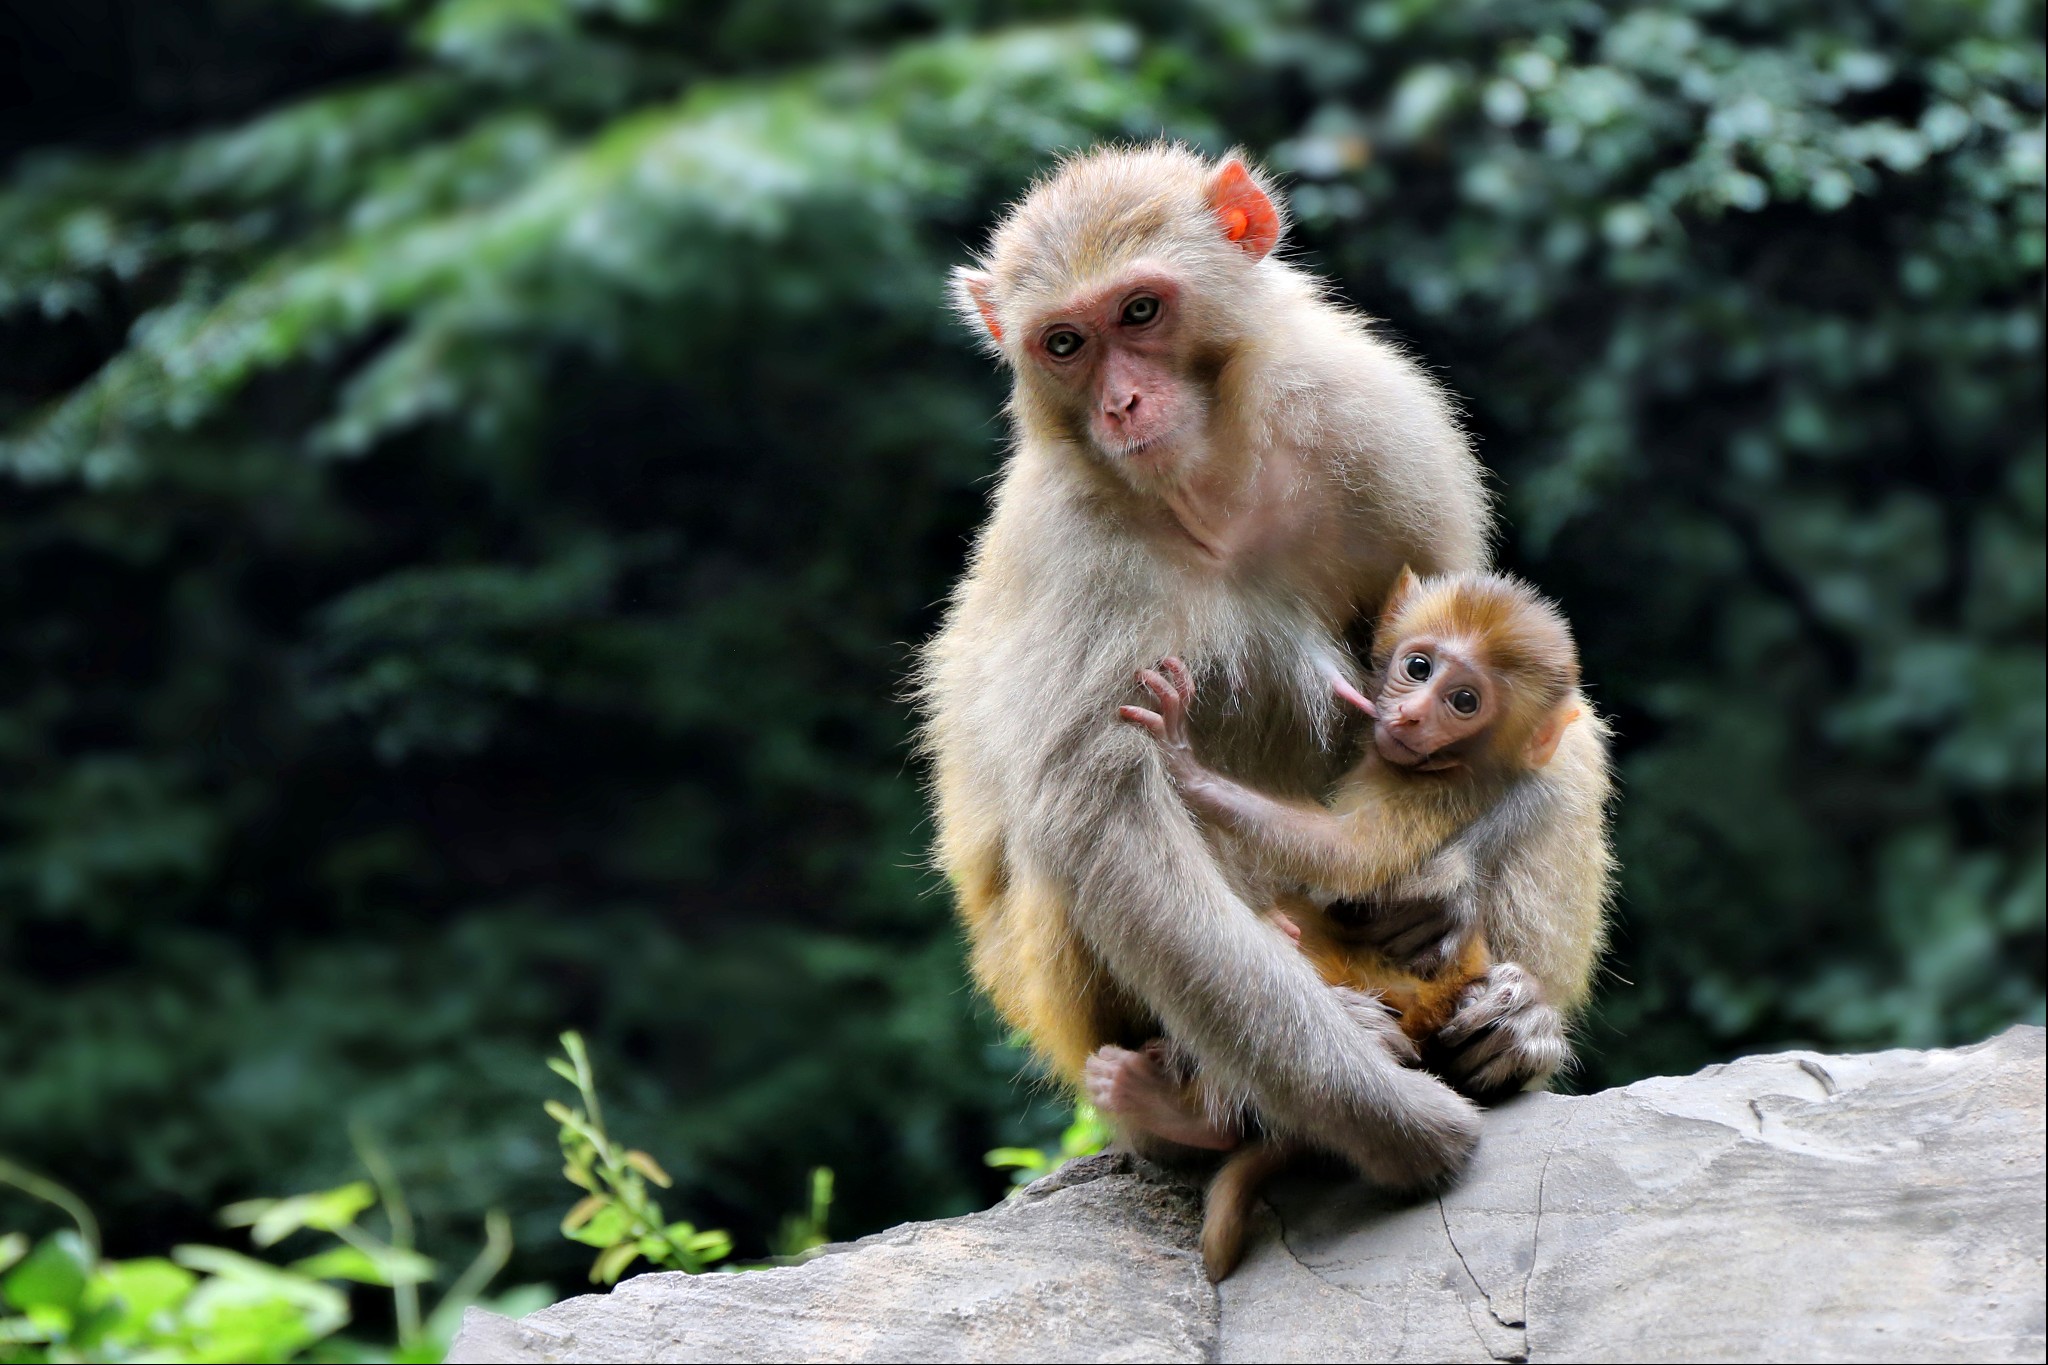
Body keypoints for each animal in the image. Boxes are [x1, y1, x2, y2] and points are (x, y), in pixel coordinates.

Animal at [921, 149, 1605, 1186]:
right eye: (1064, 343)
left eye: (1140, 311)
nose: (1122, 402)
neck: (1208, 486)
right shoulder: (1075, 548)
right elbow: (1104, 823)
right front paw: (1386, 1117)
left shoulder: (1380, 427)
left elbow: (1514, 684)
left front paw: (1445, 888)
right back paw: (1186, 1111)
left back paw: (1514, 1033)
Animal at [1114, 564, 1589, 1285]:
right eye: (1419, 666)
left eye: (1464, 701)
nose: (1413, 714)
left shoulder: (1424, 789)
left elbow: (1348, 857)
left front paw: (1185, 763)